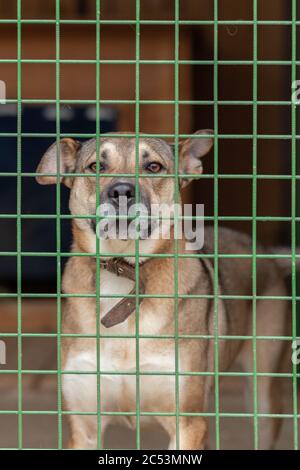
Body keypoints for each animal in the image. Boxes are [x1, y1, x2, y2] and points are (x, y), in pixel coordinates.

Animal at [36, 130, 292, 450]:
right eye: (96, 166)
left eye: (154, 167)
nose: (122, 191)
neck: (123, 270)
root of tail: (264, 251)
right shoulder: (84, 426)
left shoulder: (187, 424)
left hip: (263, 397)